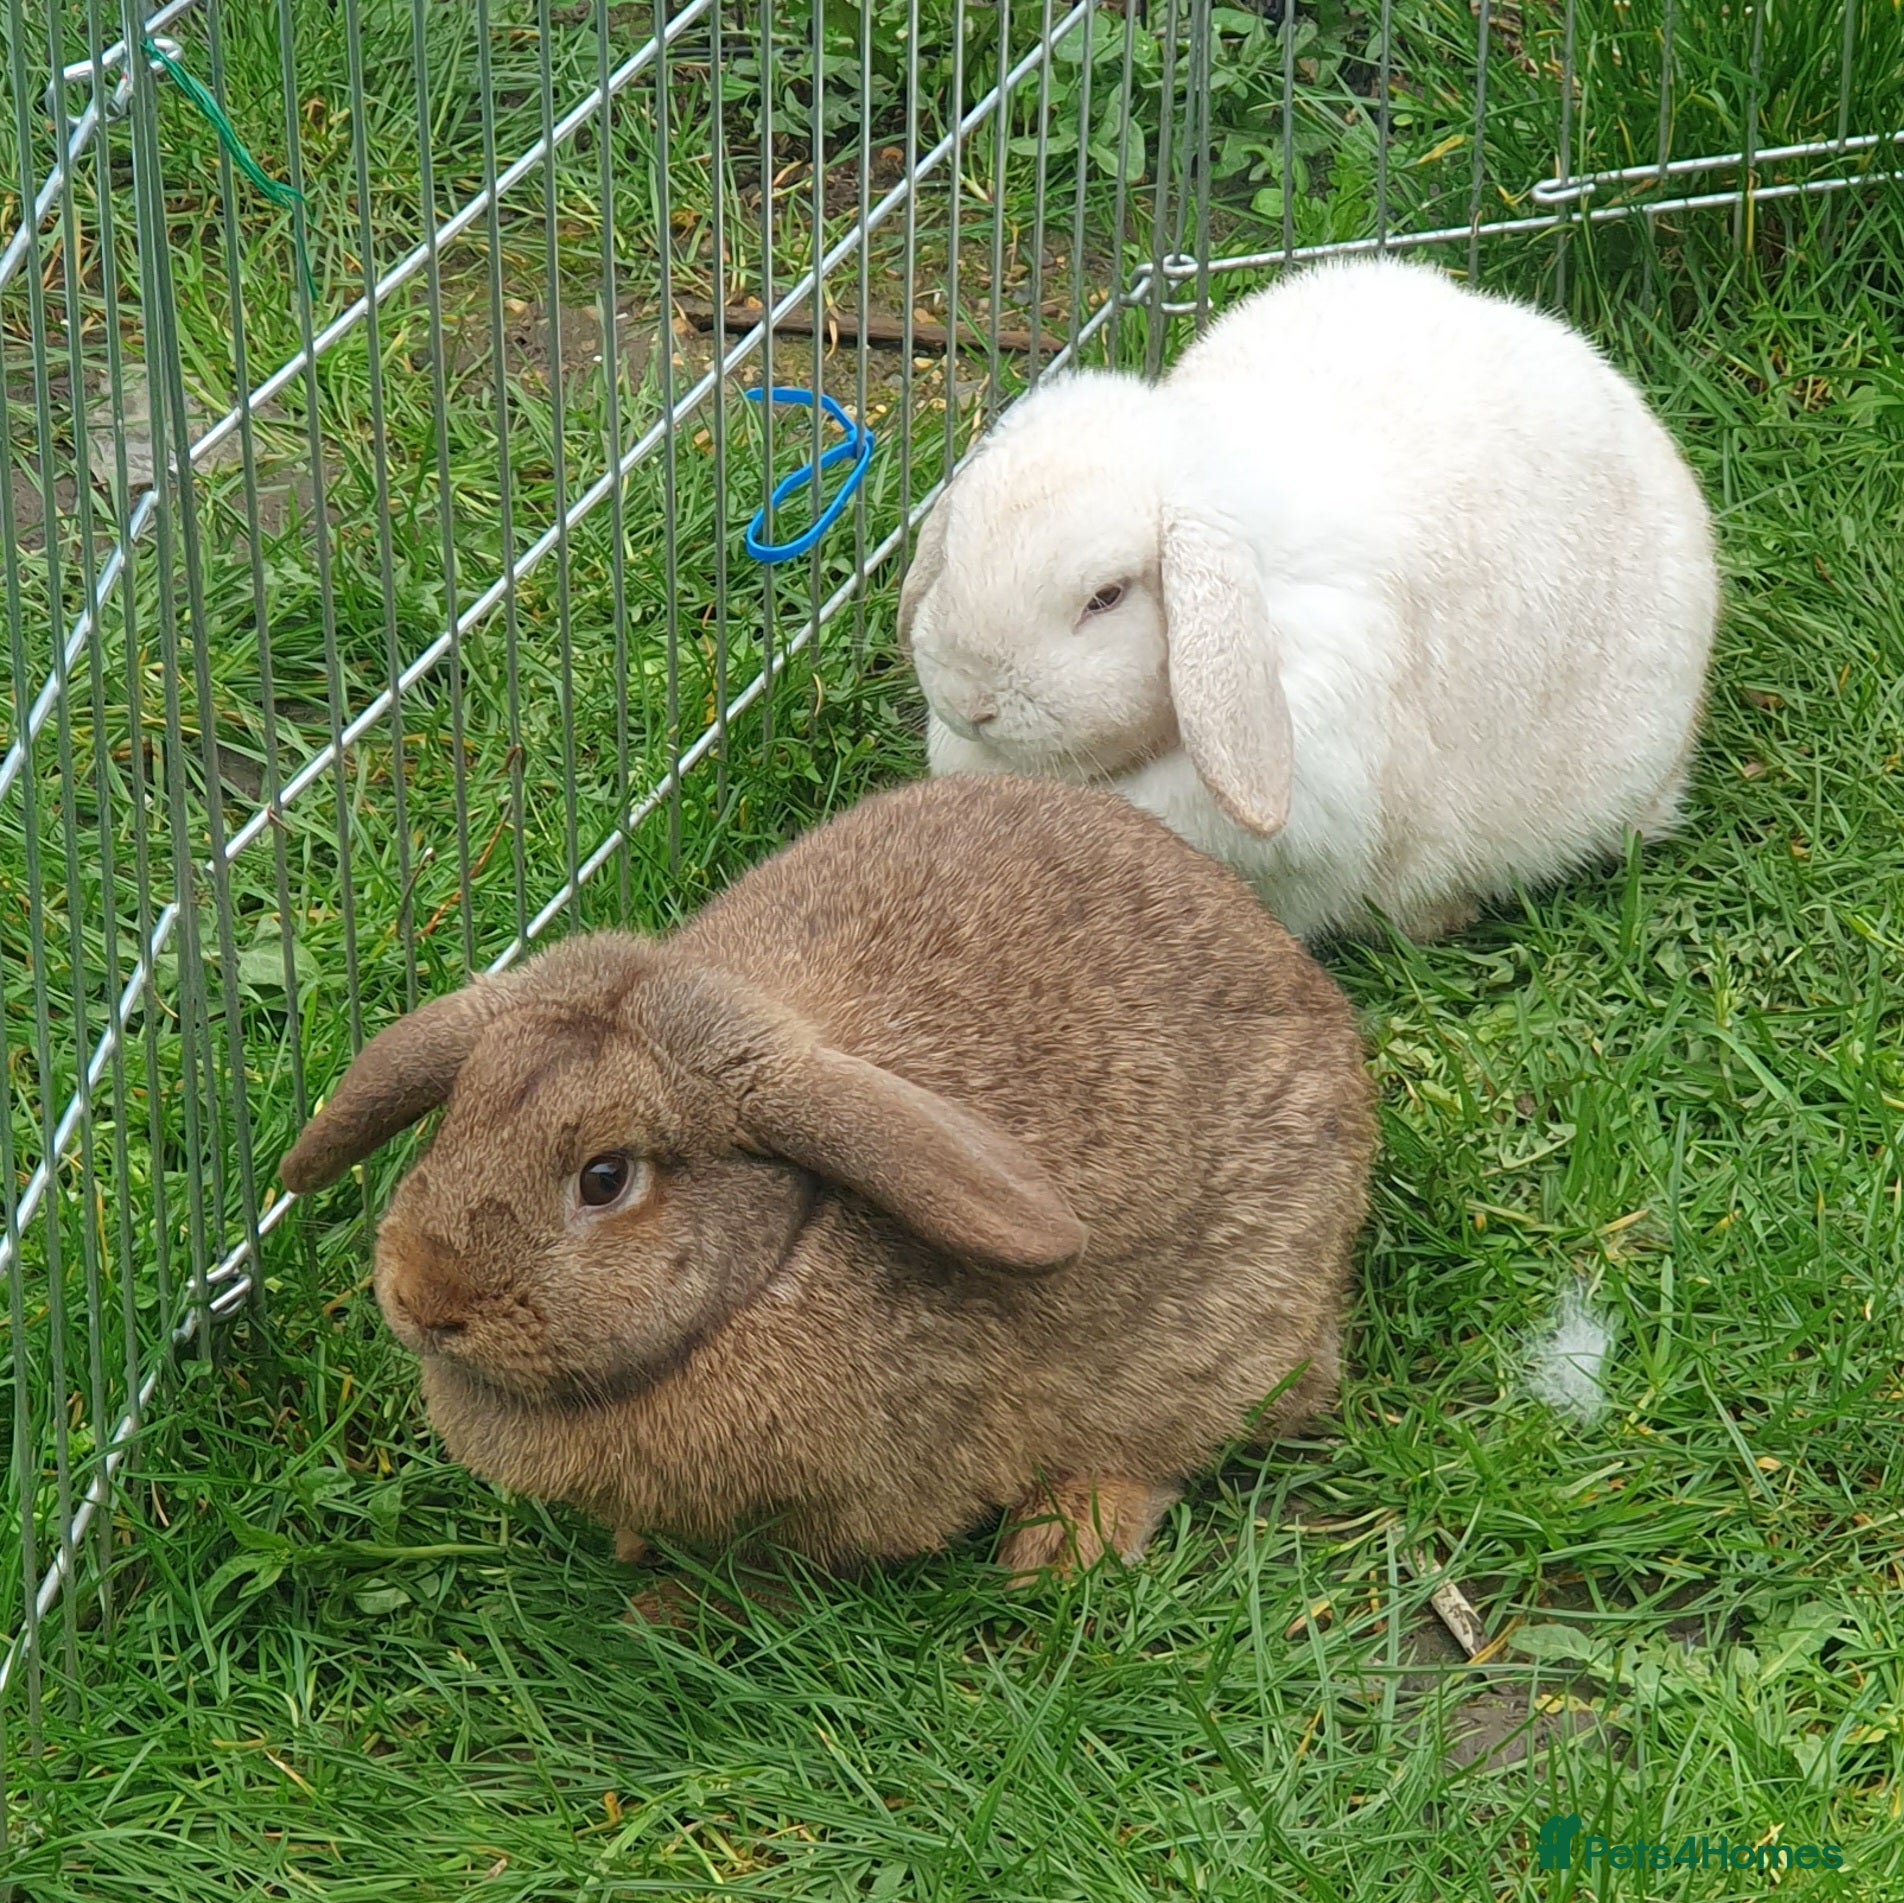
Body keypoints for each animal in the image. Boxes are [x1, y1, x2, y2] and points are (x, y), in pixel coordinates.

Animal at [279, 774, 1374, 1579]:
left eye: (605, 1177)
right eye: (457, 1119)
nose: (426, 1301)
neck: (779, 1255)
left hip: (1217, 1342)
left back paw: (1060, 1550)